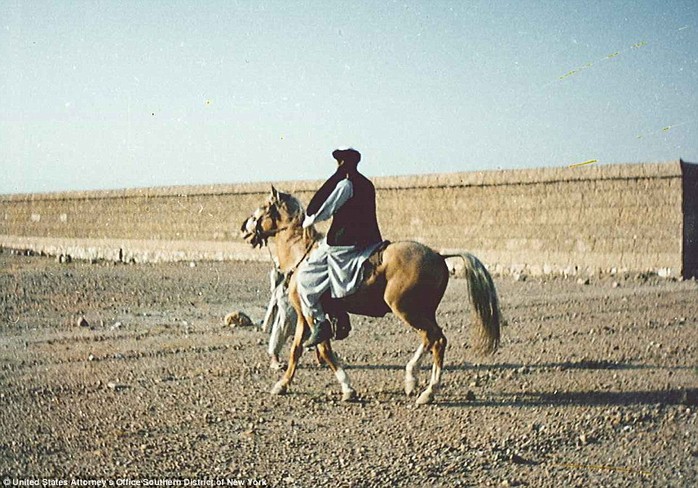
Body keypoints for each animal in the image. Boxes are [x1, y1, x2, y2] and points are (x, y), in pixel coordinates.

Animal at [241, 186, 500, 404]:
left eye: (263, 207)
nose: (244, 228)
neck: (302, 254)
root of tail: (438, 255)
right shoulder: (306, 316)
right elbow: (296, 350)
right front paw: (282, 385)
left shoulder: (311, 314)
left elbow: (323, 350)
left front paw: (347, 388)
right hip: (423, 311)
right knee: (431, 339)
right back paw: (412, 379)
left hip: (406, 310)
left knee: (436, 340)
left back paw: (428, 392)